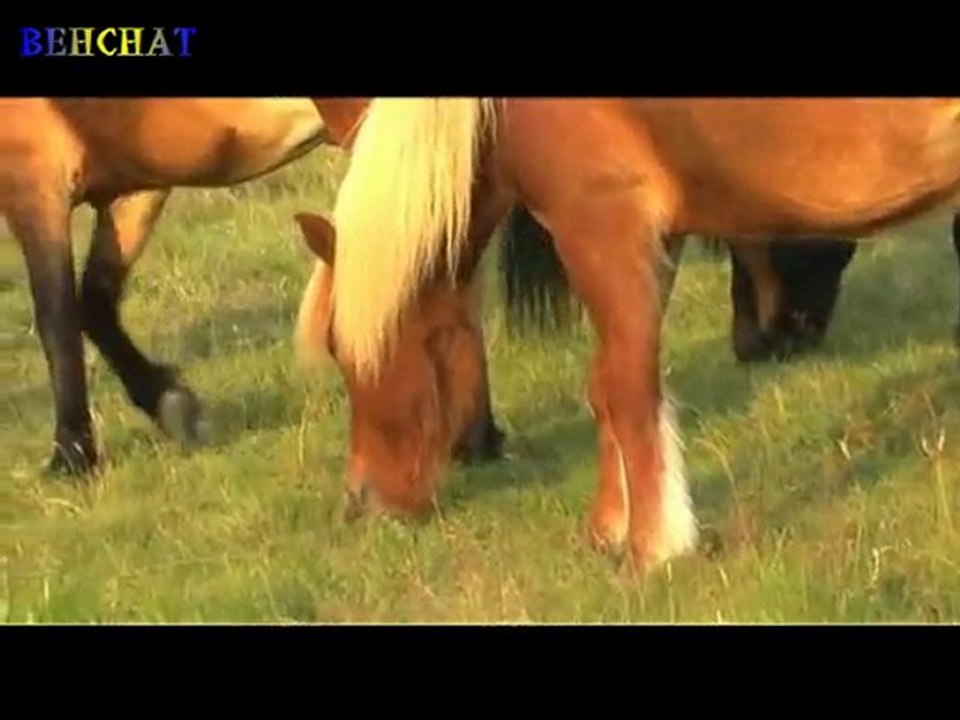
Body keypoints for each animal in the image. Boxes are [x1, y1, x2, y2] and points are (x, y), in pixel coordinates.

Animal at [1, 98, 504, 477]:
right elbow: (95, 304)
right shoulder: (138, 185)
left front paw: (71, 455)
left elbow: (57, 322)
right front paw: (171, 404)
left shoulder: (33, 178)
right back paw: (479, 439)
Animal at [294, 98, 960, 572]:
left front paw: (652, 550)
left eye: (348, 348)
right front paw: (609, 529)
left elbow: (628, 392)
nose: (364, 503)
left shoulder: (604, 230)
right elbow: (606, 386)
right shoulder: (653, 240)